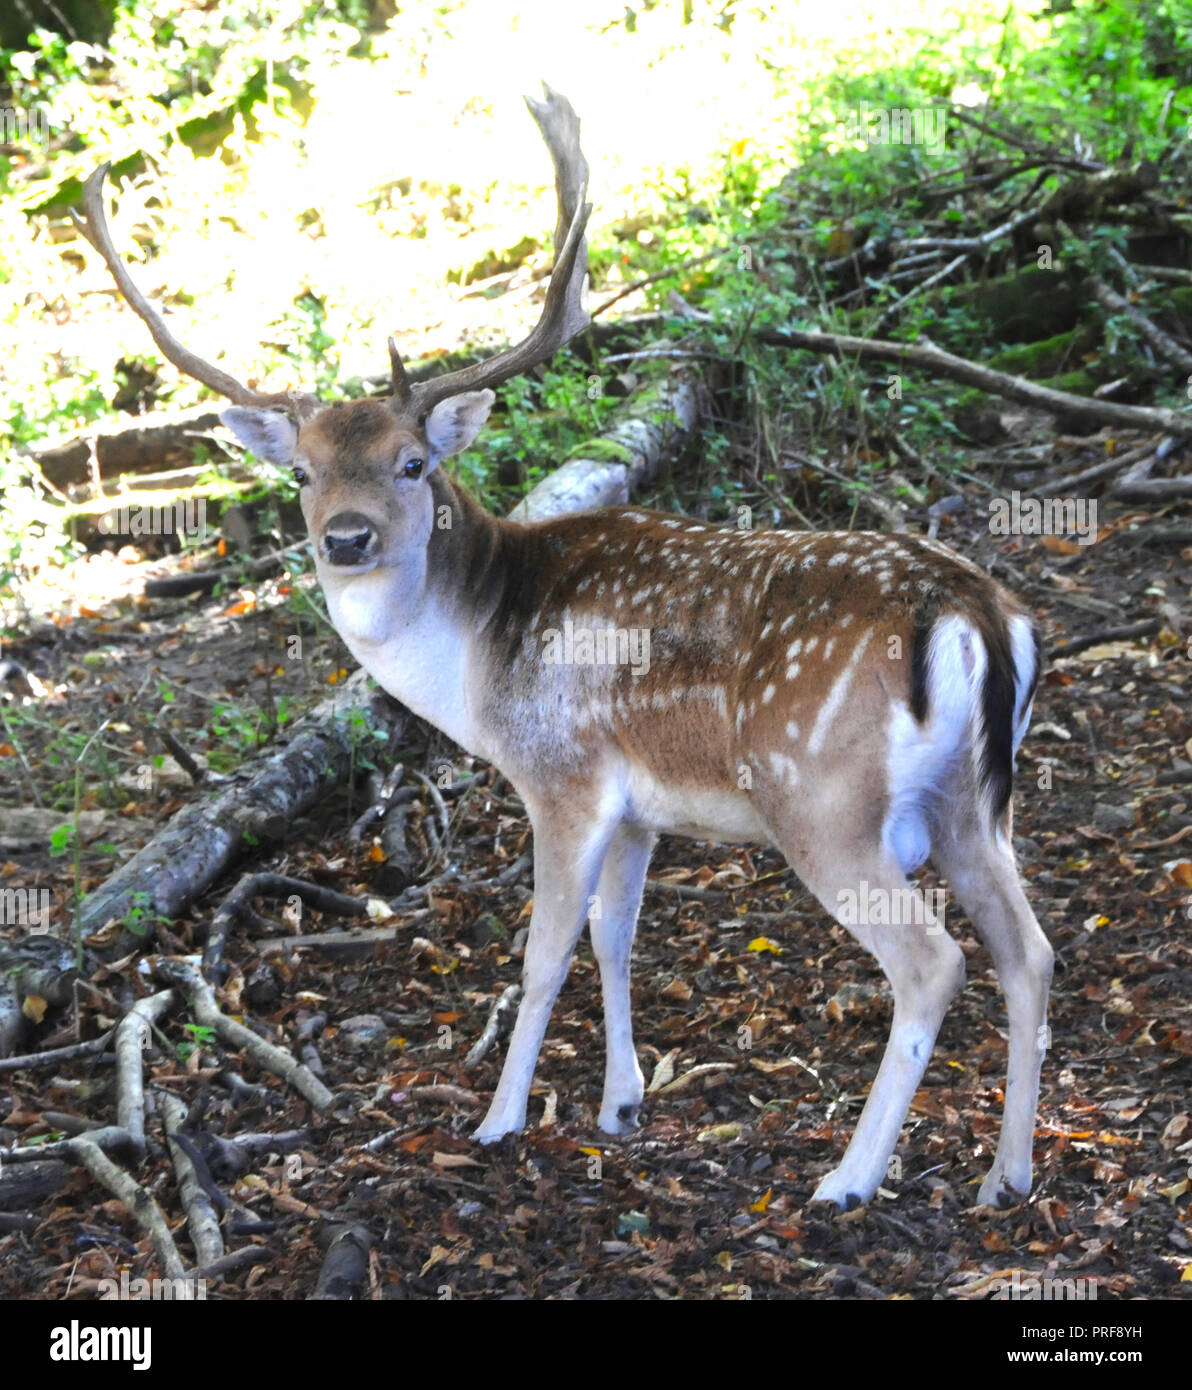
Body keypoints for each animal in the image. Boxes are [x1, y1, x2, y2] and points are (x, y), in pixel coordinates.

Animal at [72, 86, 1053, 1211]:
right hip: (977, 802)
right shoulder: (638, 810)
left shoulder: (561, 775)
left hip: (820, 794)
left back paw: (847, 1179)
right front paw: (621, 1103)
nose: (346, 539)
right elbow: (614, 933)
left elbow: (542, 954)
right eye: (304, 474)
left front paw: (499, 1117)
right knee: (1030, 950)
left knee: (933, 961)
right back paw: (1007, 1175)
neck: (473, 659)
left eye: (412, 464)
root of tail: (978, 616)